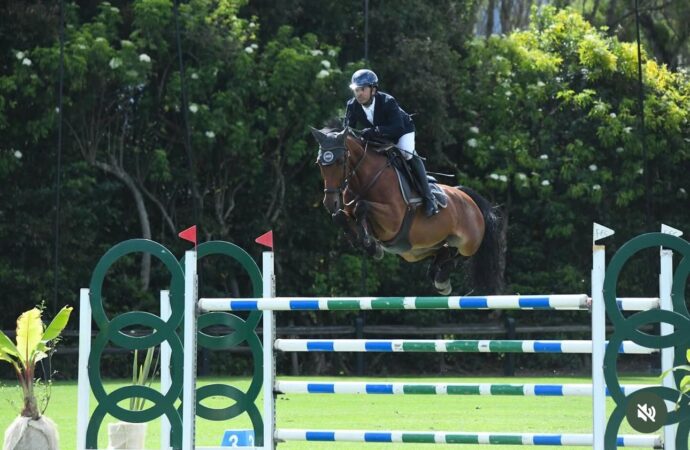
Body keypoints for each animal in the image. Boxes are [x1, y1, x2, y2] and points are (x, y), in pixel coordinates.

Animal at [311, 126, 502, 295]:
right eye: (320, 163)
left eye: (340, 161)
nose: (330, 202)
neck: (366, 180)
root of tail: (467, 196)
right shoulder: (351, 213)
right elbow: (340, 217)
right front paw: (366, 243)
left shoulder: (392, 220)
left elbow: (362, 206)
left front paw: (369, 244)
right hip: (417, 251)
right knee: (444, 252)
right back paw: (438, 275)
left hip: (468, 242)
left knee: (461, 255)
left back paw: (441, 280)